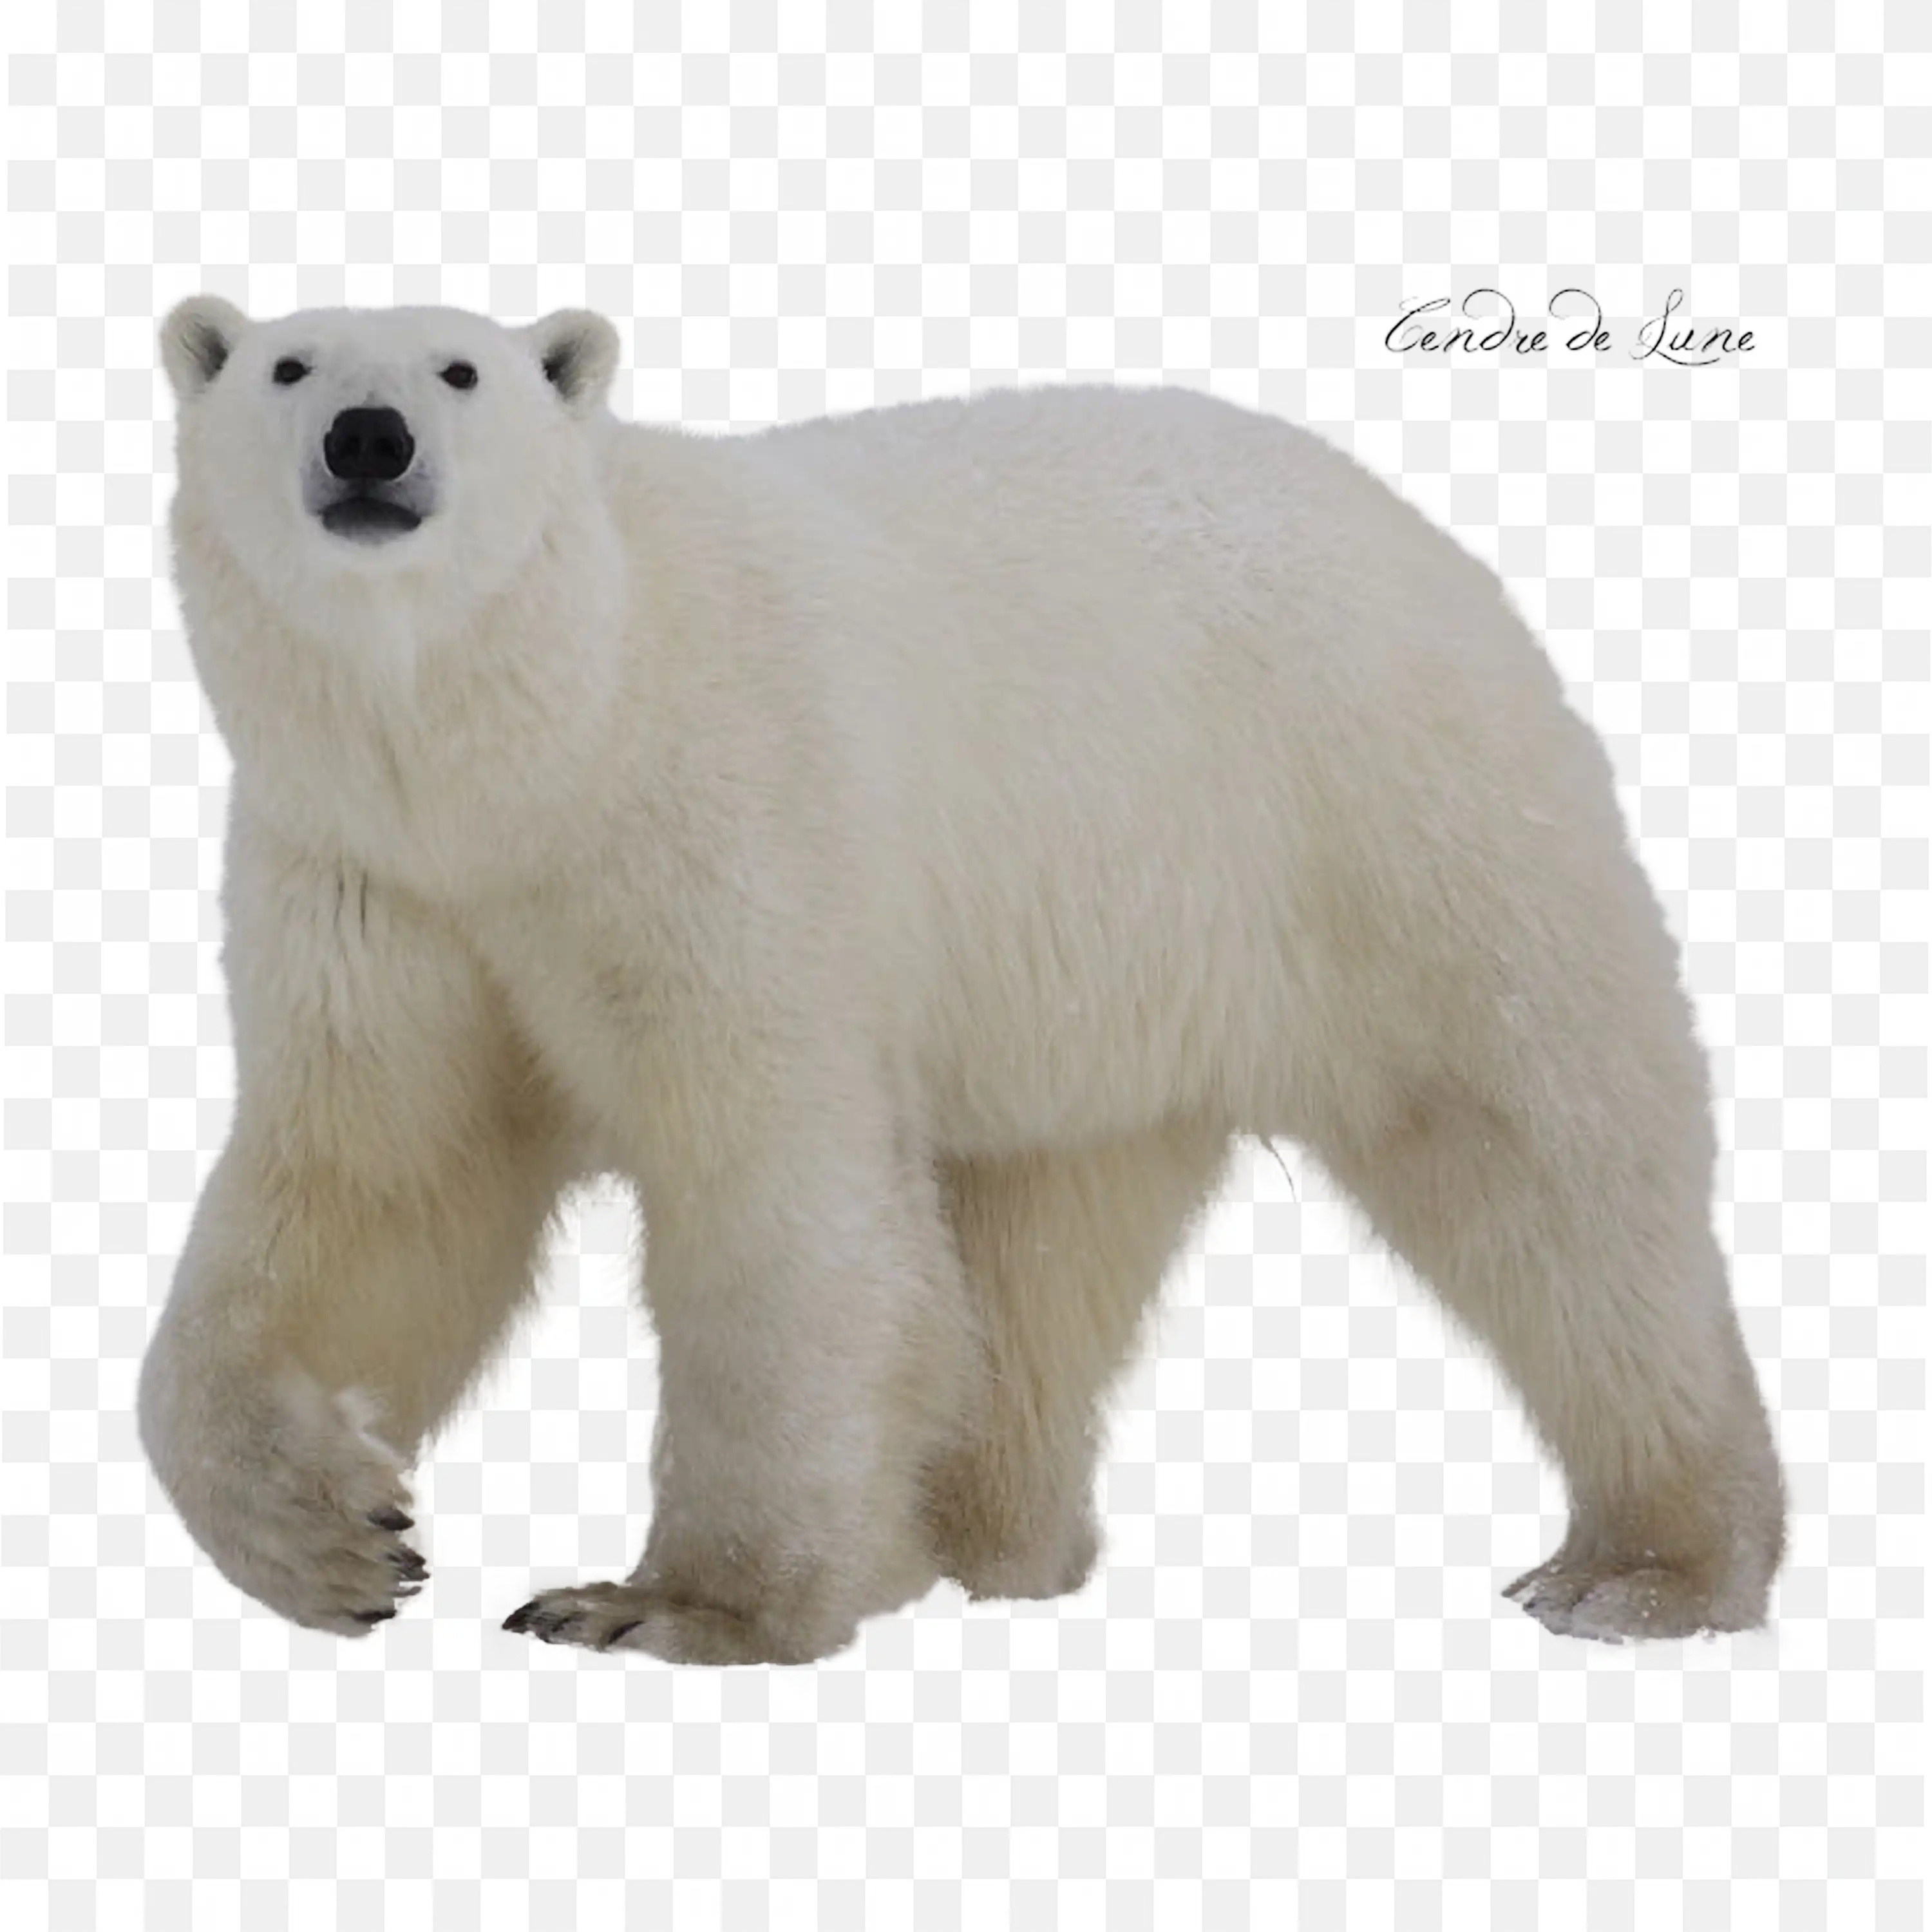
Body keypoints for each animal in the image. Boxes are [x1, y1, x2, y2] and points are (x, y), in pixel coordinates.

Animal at [135, 294, 1791, 1666]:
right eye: (288, 365)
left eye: (460, 369)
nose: (368, 437)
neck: (542, 739)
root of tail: (1425, 528)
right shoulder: (380, 880)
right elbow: (382, 1187)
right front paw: (341, 1539)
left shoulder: (719, 819)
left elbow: (775, 1187)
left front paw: (670, 1606)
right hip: (1104, 971)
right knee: (1044, 1235)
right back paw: (978, 1531)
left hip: (1382, 816)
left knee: (1539, 1159)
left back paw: (1645, 1568)